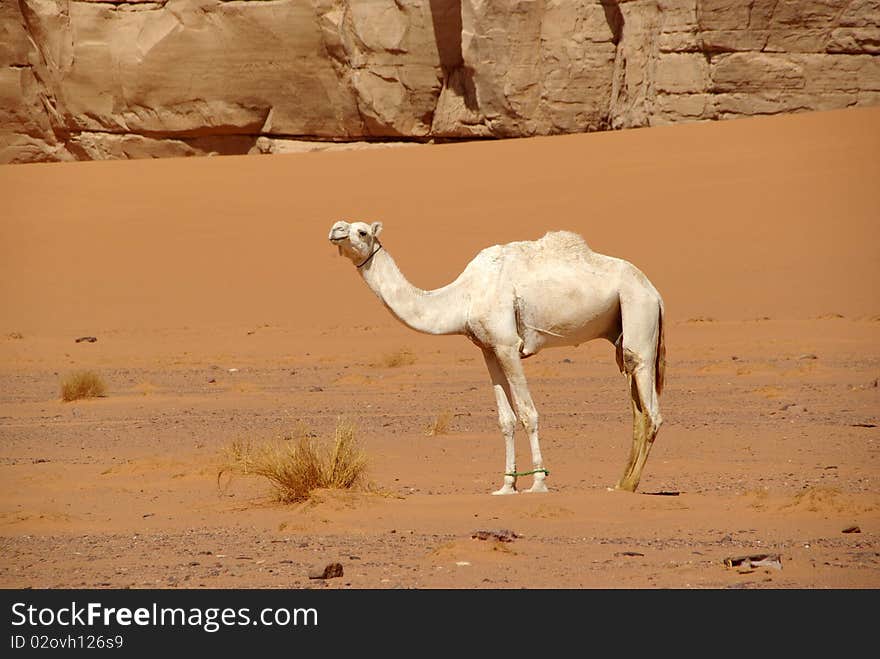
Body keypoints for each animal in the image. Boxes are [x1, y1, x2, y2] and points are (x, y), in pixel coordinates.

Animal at [330, 222, 668, 496]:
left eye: (362, 231)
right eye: (342, 224)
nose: (335, 230)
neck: (463, 297)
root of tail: (655, 292)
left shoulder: (508, 345)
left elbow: (528, 413)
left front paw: (538, 483)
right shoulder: (488, 349)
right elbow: (506, 420)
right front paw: (506, 485)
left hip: (639, 312)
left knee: (650, 407)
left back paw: (631, 485)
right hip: (621, 330)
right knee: (637, 407)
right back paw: (620, 483)